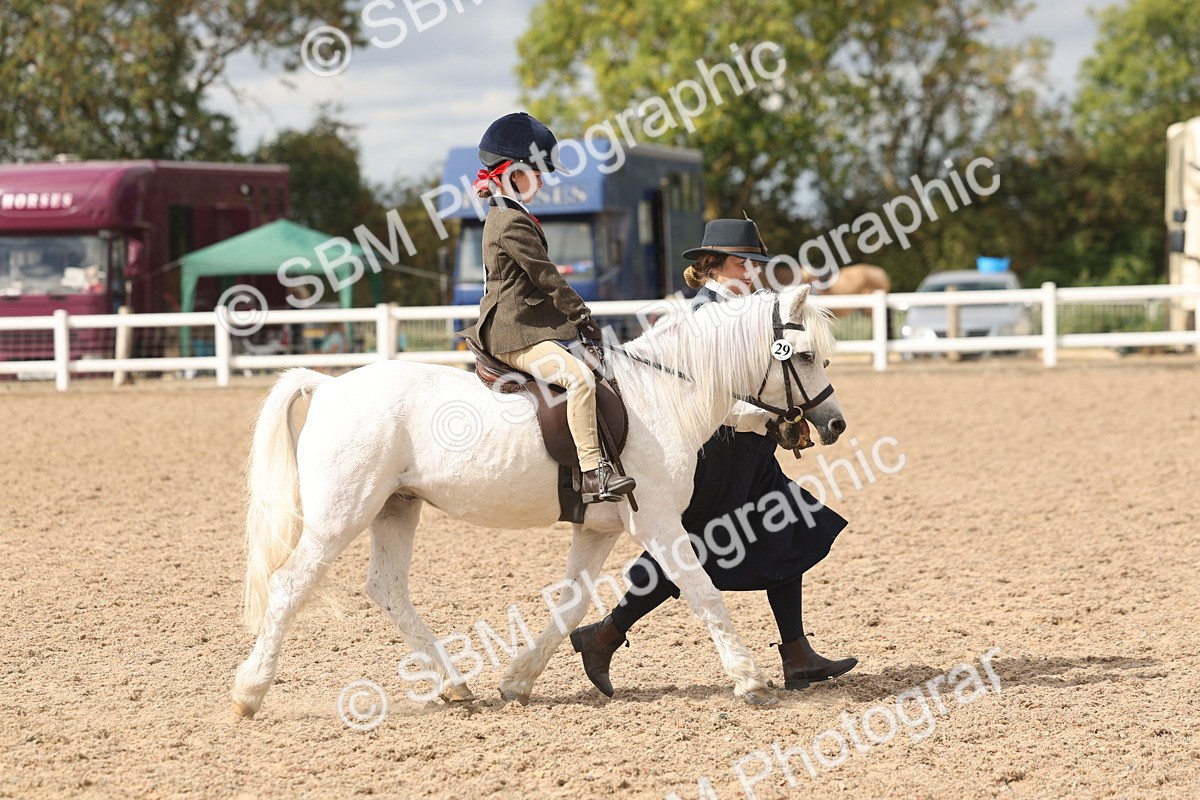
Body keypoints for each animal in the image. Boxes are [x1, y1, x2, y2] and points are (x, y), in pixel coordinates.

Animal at [230, 286, 846, 717]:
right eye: (804, 355)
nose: (833, 423)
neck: (663, 393)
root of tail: (329, 386)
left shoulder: (598, 528)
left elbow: (571, 602)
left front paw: (518, 681)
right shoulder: (660, 524)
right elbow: (704, 592)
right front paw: (749, 678)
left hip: (395, 508)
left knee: (386, 589)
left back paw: (456, 686)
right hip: (341, 516)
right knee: (290, 586)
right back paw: (249, 692)